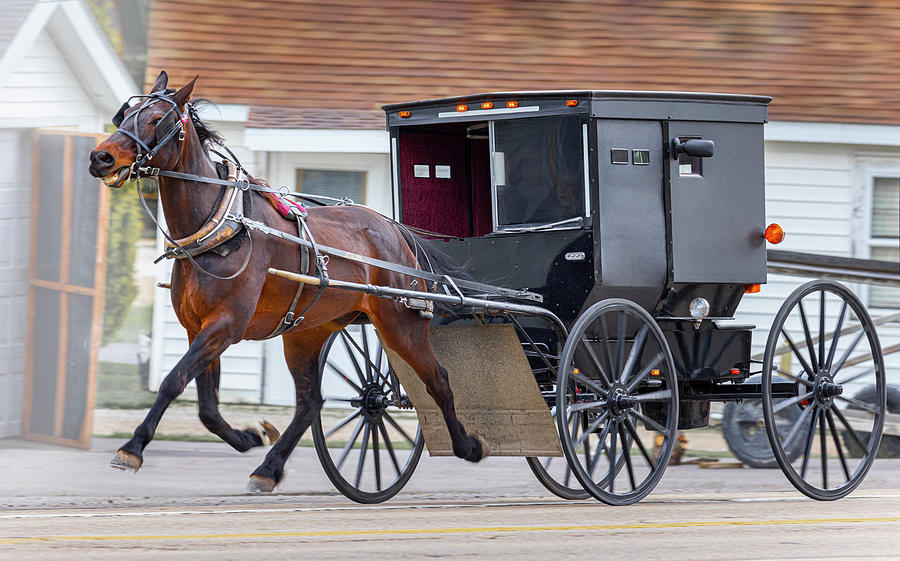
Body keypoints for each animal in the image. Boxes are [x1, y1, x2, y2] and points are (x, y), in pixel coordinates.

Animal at [88, 72, 488, 492]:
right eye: (125, 114)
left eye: (157, 120)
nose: (101, 157)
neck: (222, 229)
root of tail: (394, 229)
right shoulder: (197, 327)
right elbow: (207, 407)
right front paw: (249, 436)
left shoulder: (225, 325)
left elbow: (173, 380)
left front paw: (132, 447)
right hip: (305, 334)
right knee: (310, 403)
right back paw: (269, 467)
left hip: (401, 324)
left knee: (438, 380)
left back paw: (467, 446)